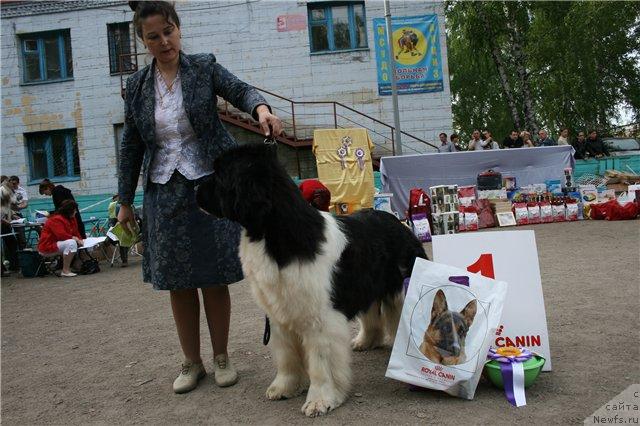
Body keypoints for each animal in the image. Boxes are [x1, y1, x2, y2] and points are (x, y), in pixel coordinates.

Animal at [195, 145, 424, 418]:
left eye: (220, 174)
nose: (194, 189)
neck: (273, 234)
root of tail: (399, 222)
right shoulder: (279, 313)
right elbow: (286, 356)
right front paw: (284, 387)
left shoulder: (320, 319)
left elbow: (320, 363)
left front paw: (320, 400)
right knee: (370, 314)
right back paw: (365, 341)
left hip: (401, 287)